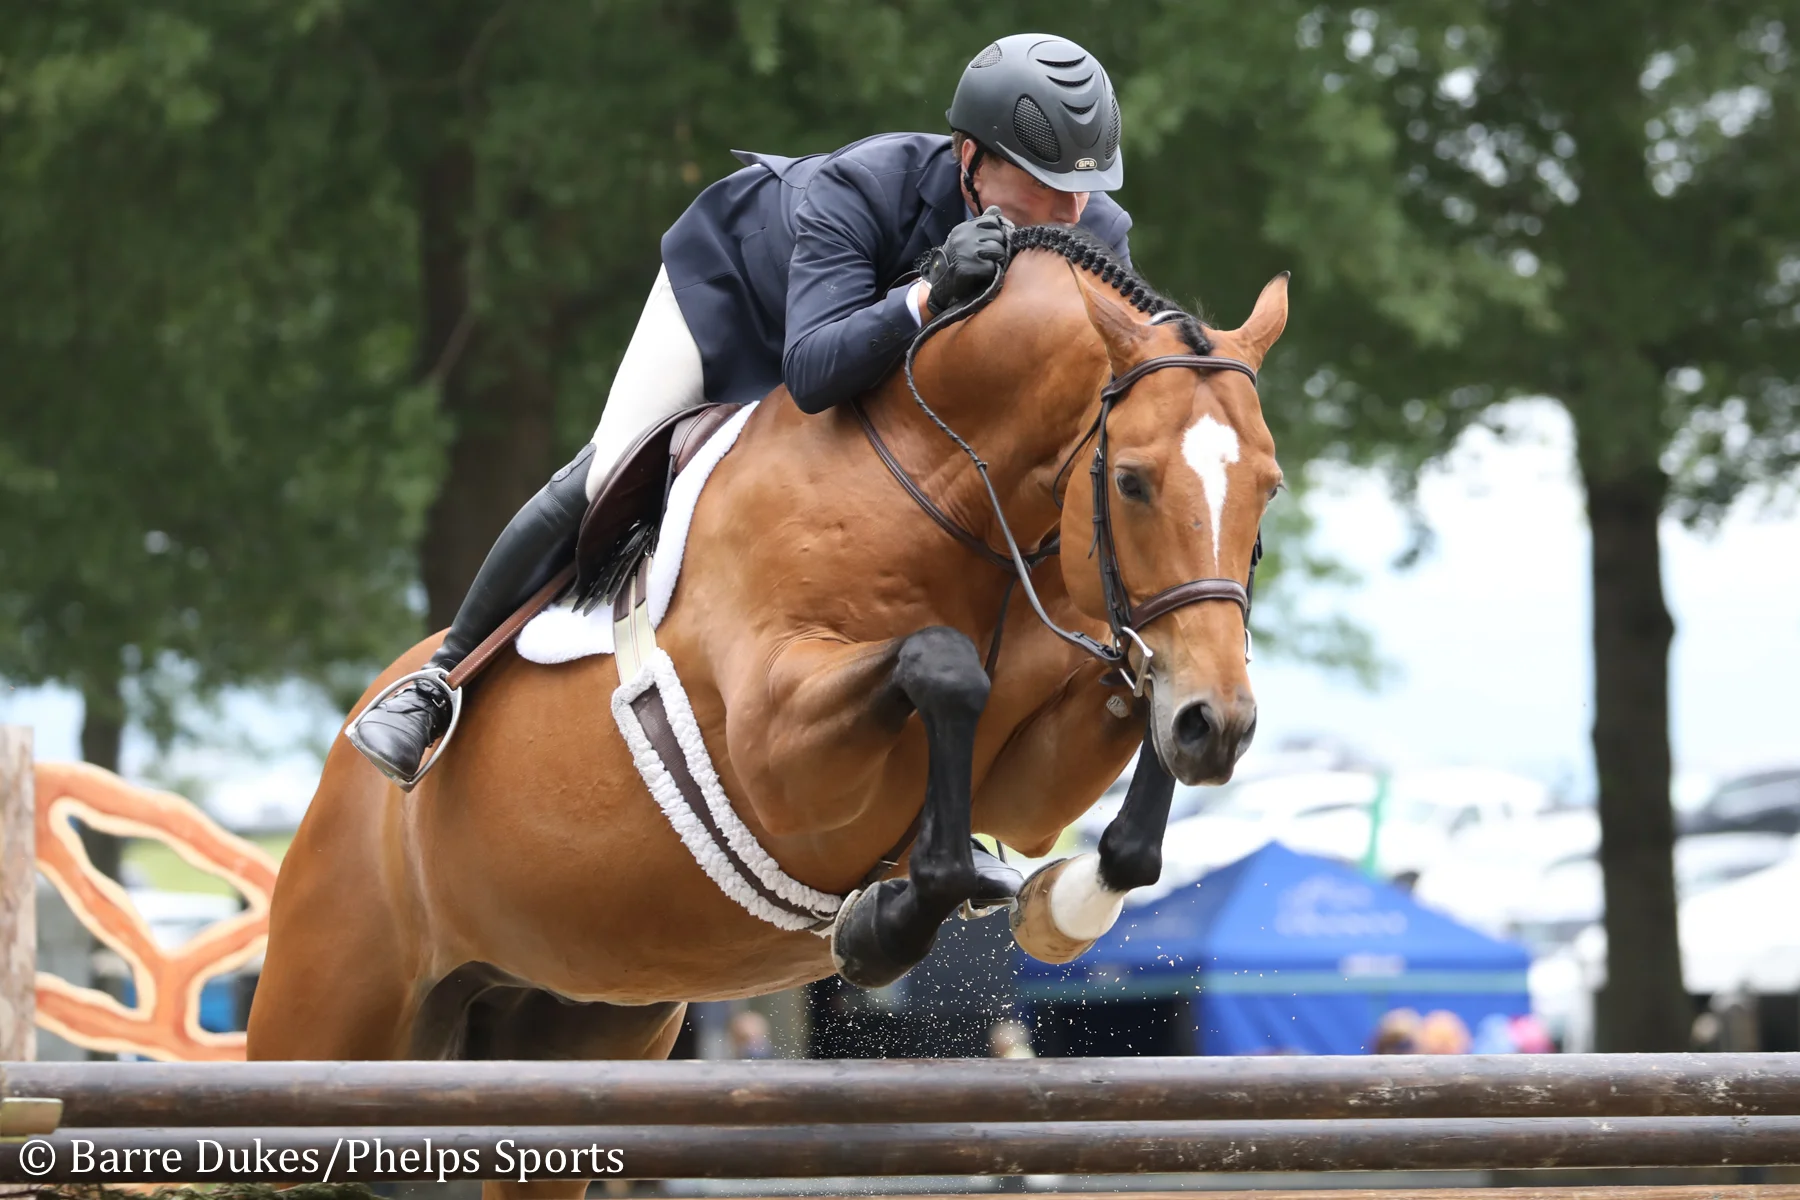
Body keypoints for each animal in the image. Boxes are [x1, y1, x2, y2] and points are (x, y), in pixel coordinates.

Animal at [246, 229, 1286, 1200]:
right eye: (1133, 481)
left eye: (1267, 489)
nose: (1220, 725)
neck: (950, 492)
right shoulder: (780, 752)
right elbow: (943, 666)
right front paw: (887, 922)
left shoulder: (1033, 778)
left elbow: (1116, 748)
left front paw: (1059, 904)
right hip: (322, 1024)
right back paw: (411, 717)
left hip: (563, 1029)